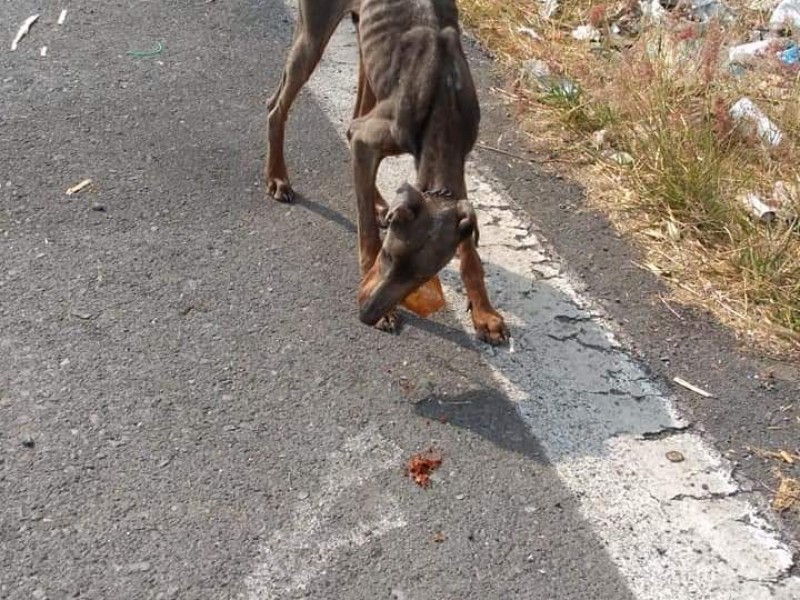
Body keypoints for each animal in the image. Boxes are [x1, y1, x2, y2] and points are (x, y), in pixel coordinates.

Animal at [268, 0, 506, 344]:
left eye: (422, 277)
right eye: (389, 255)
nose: (367, 314)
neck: (444, 95)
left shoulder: (456, 169)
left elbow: (470, 252)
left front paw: (485, 313)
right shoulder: (370, 139)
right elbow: (366, 231)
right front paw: (381, 308)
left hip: (366, 55)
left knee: (351, 123)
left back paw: (380, 201)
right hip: (312, 37)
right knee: (277, 107)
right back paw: (277, 178)